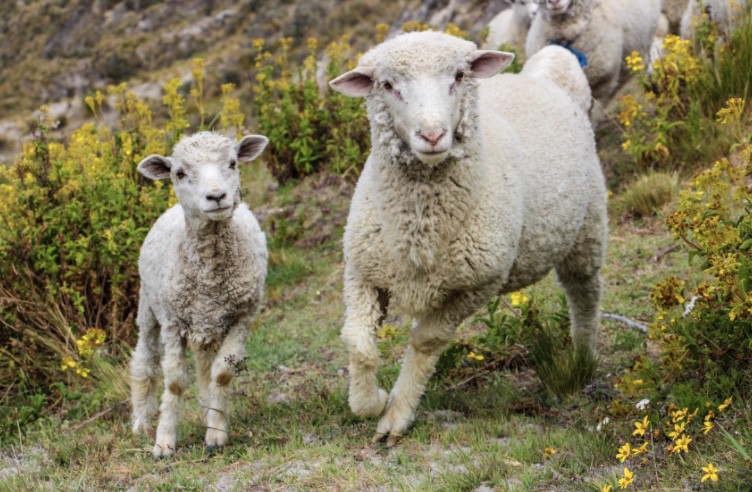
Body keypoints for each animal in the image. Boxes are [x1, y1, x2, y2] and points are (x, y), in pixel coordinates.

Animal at [130, 131, 269, 458]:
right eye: (179, 173)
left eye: (232, 163)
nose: (216, 197)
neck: (209, 275)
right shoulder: (171, 322)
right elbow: (175, 383)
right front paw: (164, 442)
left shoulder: (242, 317)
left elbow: (221, 374)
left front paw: (216, 433)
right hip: (149, 309)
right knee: (145, 361)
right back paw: (141, 421)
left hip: (210, 322)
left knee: (206, 366)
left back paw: (208, 410)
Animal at [329, 31, 607, 446]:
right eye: (388, 85)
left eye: (459, 75)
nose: (432, 134)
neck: (420, 228)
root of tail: (543, 75)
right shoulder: (364, 271)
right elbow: (357, 343)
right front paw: (371, 400)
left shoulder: (475, 285)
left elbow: (425, 342)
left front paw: (396, 413)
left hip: (587, 228)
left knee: (584, 295)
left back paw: (583, 357)